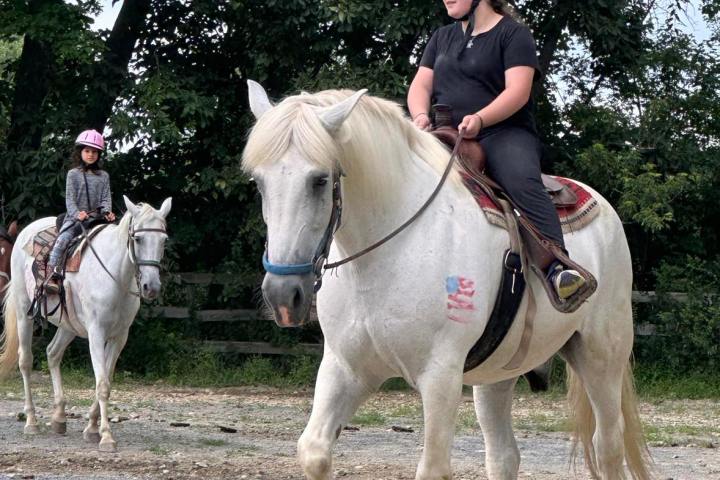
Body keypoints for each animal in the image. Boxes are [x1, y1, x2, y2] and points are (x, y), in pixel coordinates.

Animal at [0, 196, 171, 452]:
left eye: (163, 240)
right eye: (138, 239)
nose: (151, 287)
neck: (116, 277)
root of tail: (26, 231)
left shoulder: (120, 337)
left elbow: (107, 379)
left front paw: (91, 428)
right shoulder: (96, 333)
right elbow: (102, 384)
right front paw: (106, 436)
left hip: (67, 324)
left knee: (53, 353)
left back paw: (59, 417)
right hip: (23, 313)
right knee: (25, 361)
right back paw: (31, 421)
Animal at [241, 81, 651, 480]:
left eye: (320, 180)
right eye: (259, 182)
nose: (283, 296)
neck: (386, 252)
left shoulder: (441, 375)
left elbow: (433, 468)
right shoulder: (345, 367)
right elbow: (314, 452)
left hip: (600, 355)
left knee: (608, 446)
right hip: (499, 374)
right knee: (504, 456)